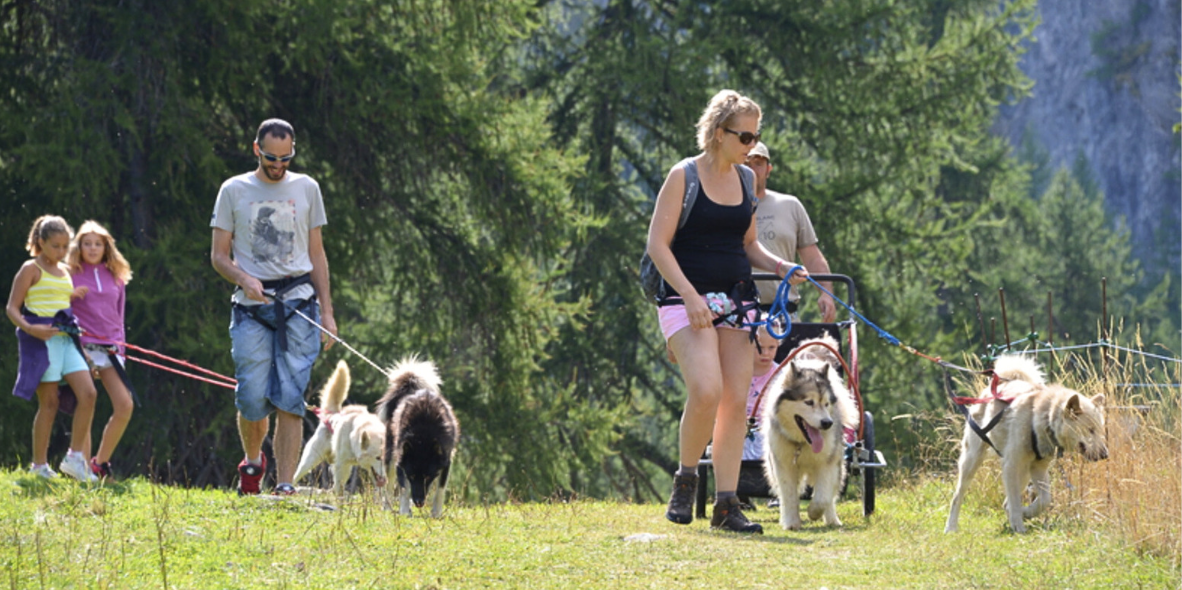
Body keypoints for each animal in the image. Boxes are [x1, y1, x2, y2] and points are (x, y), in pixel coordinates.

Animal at [294, 361, 390, 496]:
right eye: (378, 457)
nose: (386, 477)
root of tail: (332, 415)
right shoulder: (342, 465)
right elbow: (339, 489)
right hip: (311, 460)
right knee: (296, 475)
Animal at [940, 354, 1106, 536]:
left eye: (1100, 430)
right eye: (1090, 430)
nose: (1105, 455)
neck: (1043, 418)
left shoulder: (1038, 468)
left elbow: (1045, 500)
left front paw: (1026, 513)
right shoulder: (1011, 465)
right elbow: (1015, 501)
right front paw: (1019, 525)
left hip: (1024, 470)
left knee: (1007, 503)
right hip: (973, 459)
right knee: (958, 496)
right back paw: (950, 527)